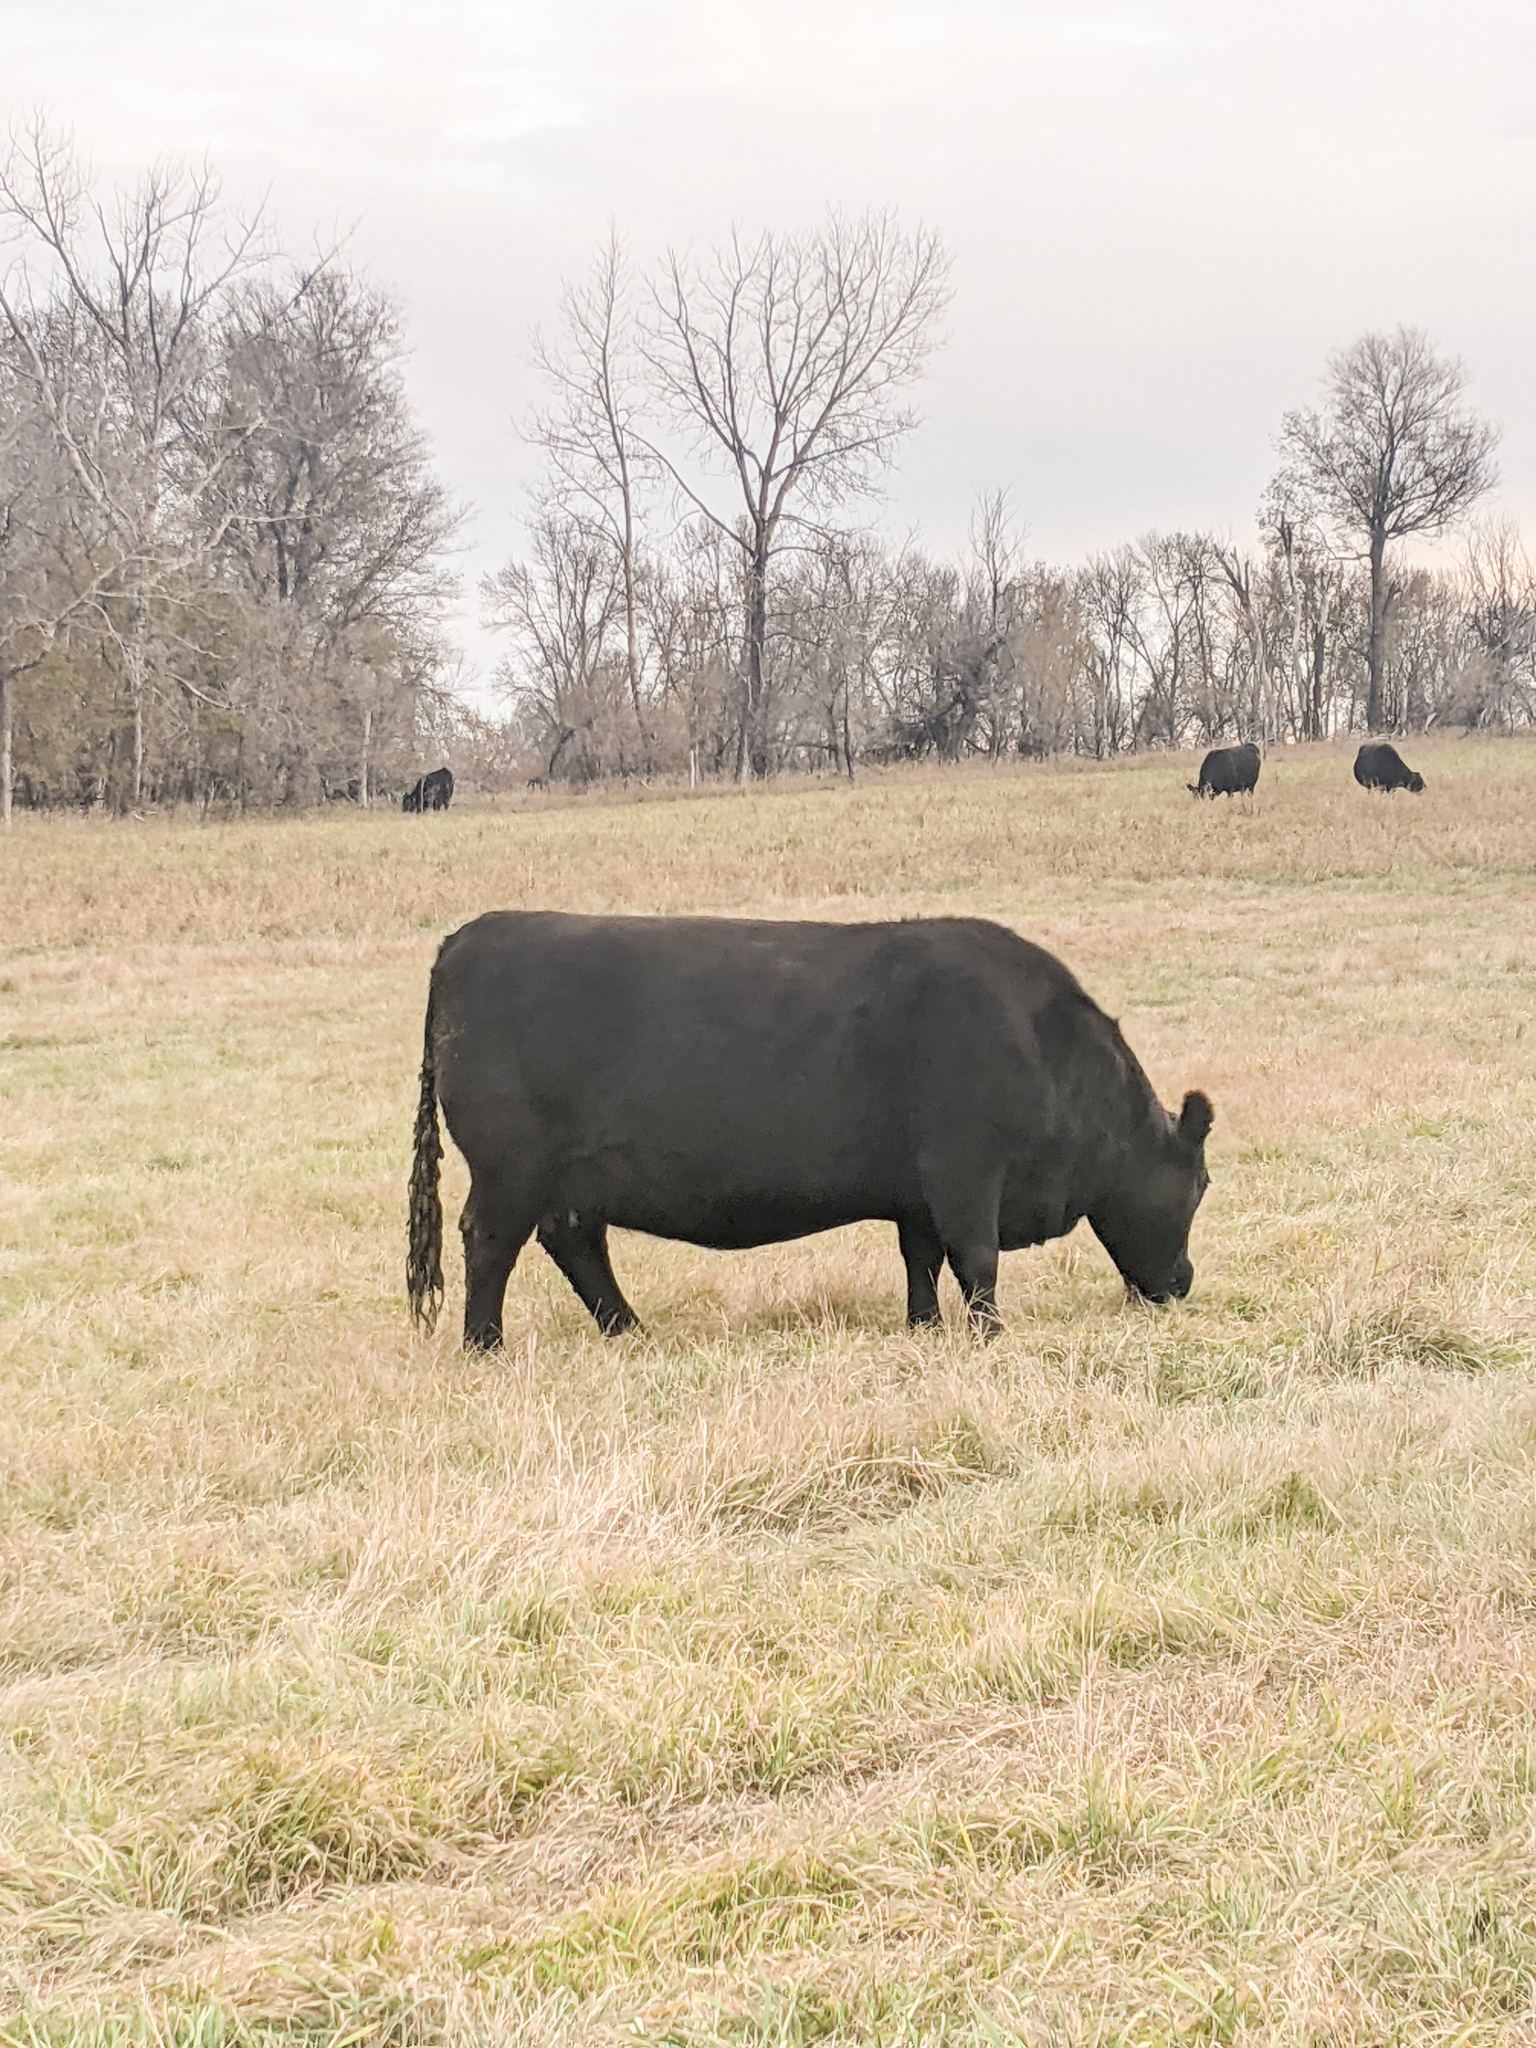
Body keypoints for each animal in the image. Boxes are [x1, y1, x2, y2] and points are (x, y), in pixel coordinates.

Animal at [407, 912, 1214, 1347]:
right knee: (491, 1242)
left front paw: (923, 1329)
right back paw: (484, 1345)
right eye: (1202, 1184)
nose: (1182, 1282)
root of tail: (466, 937)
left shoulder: (917, 1192)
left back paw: (629, 1332)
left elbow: (920, 1260)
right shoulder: (966, 1172)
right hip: (509, 1169)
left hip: (569, 1178)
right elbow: (976, 1262)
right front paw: (990, 1337)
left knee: (574, 1243)